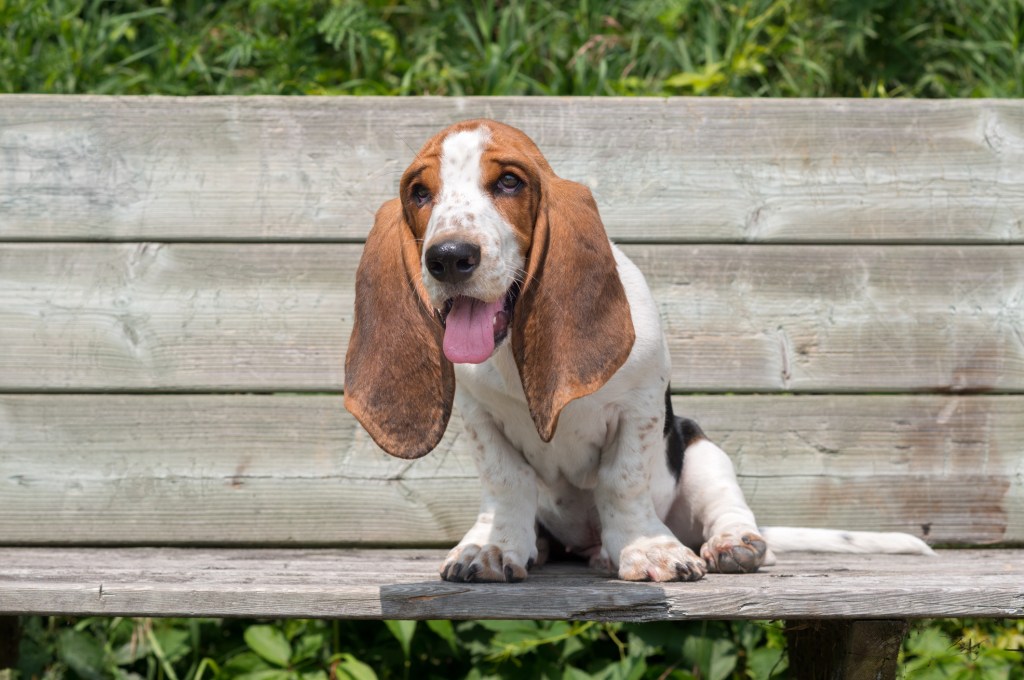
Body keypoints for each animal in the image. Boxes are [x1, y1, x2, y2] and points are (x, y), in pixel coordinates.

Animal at [346, 119, 937, 581]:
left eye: (509, 181)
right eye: (420, 193)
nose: (449, 257)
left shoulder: (641, 409)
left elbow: (622, 481)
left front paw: (645, 551)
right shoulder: (479, 420)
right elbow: (507, 483)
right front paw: (494, 549)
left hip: (702, 451)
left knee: (730, 511)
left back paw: (730, 545)